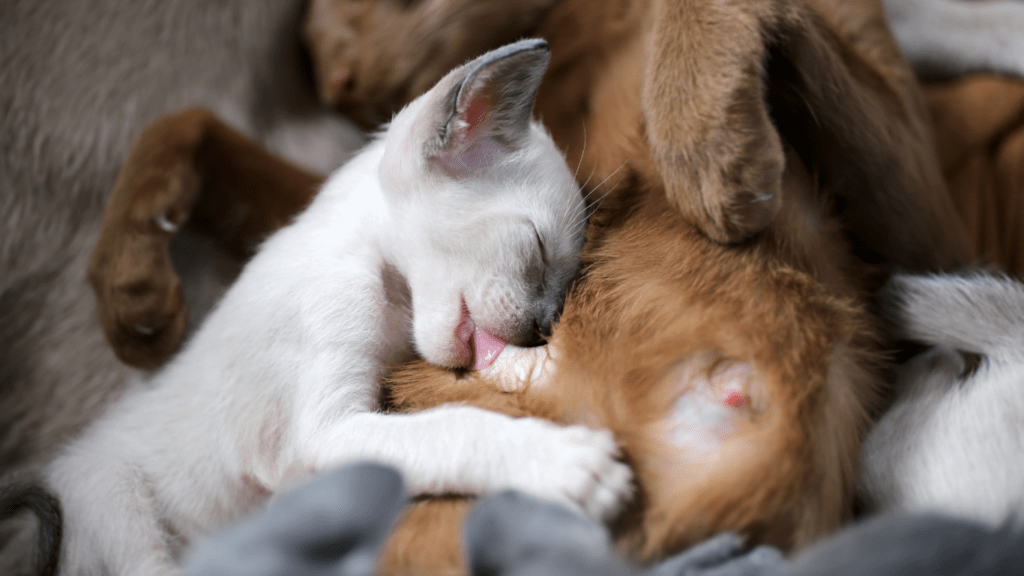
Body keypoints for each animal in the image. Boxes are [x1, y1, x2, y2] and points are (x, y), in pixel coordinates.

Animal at [39, 40, 630, 573]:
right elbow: (457, 427)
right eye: (537, 246)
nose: (543, 328)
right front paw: (570, 464)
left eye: (565, 281)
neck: (391, 297)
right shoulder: (329, 430)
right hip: (121, 505)